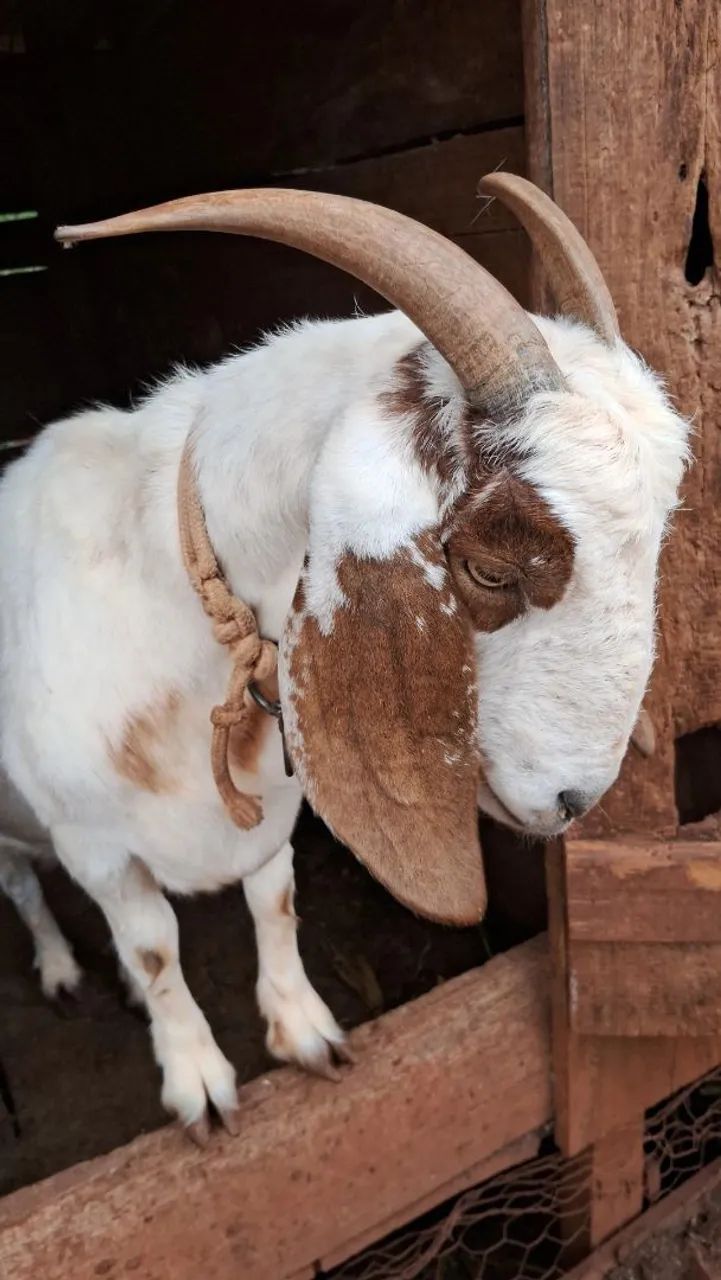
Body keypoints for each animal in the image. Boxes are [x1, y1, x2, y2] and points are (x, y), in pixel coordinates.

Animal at [0, 175, 689, 1141]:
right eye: (489, 568)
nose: (573, 802)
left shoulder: (276, 810)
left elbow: (274, 900)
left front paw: (304, 1032)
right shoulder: (93, 844)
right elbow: (155, 949)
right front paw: (197, 1081)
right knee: (25, 888)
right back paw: (62, 970)